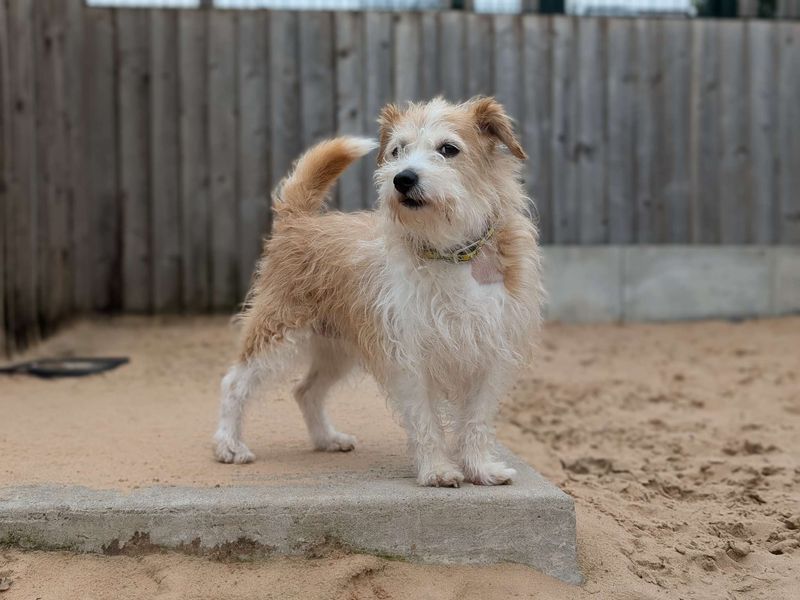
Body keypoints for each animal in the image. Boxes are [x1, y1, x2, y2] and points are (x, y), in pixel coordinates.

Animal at [212, 95, 544, 488]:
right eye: (397, 150)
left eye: (448, 149)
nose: (403, 178)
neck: (451, 252)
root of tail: (299, 221)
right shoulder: (410, 357)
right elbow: (426, 421)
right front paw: (437, 469)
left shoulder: (492, 351)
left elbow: (476, 420)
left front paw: (480, 469)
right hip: (277, 332)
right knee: (235, 382)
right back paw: (229, 445)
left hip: (337, 348)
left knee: (305, 391)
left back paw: (327, 438)